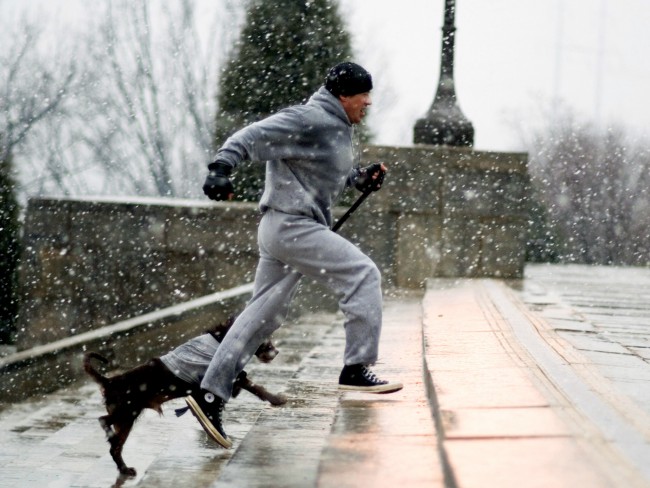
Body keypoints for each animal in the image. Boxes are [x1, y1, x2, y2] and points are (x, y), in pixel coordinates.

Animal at [83, 326, 284, 474]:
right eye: (265, 339)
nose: (276, 351)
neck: (222, 338)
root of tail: (109, 381)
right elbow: (255, 386)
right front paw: (277, 400)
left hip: (125, 419)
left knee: (114, 447)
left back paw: (124, 469)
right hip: (126, 412)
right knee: (104, 422)